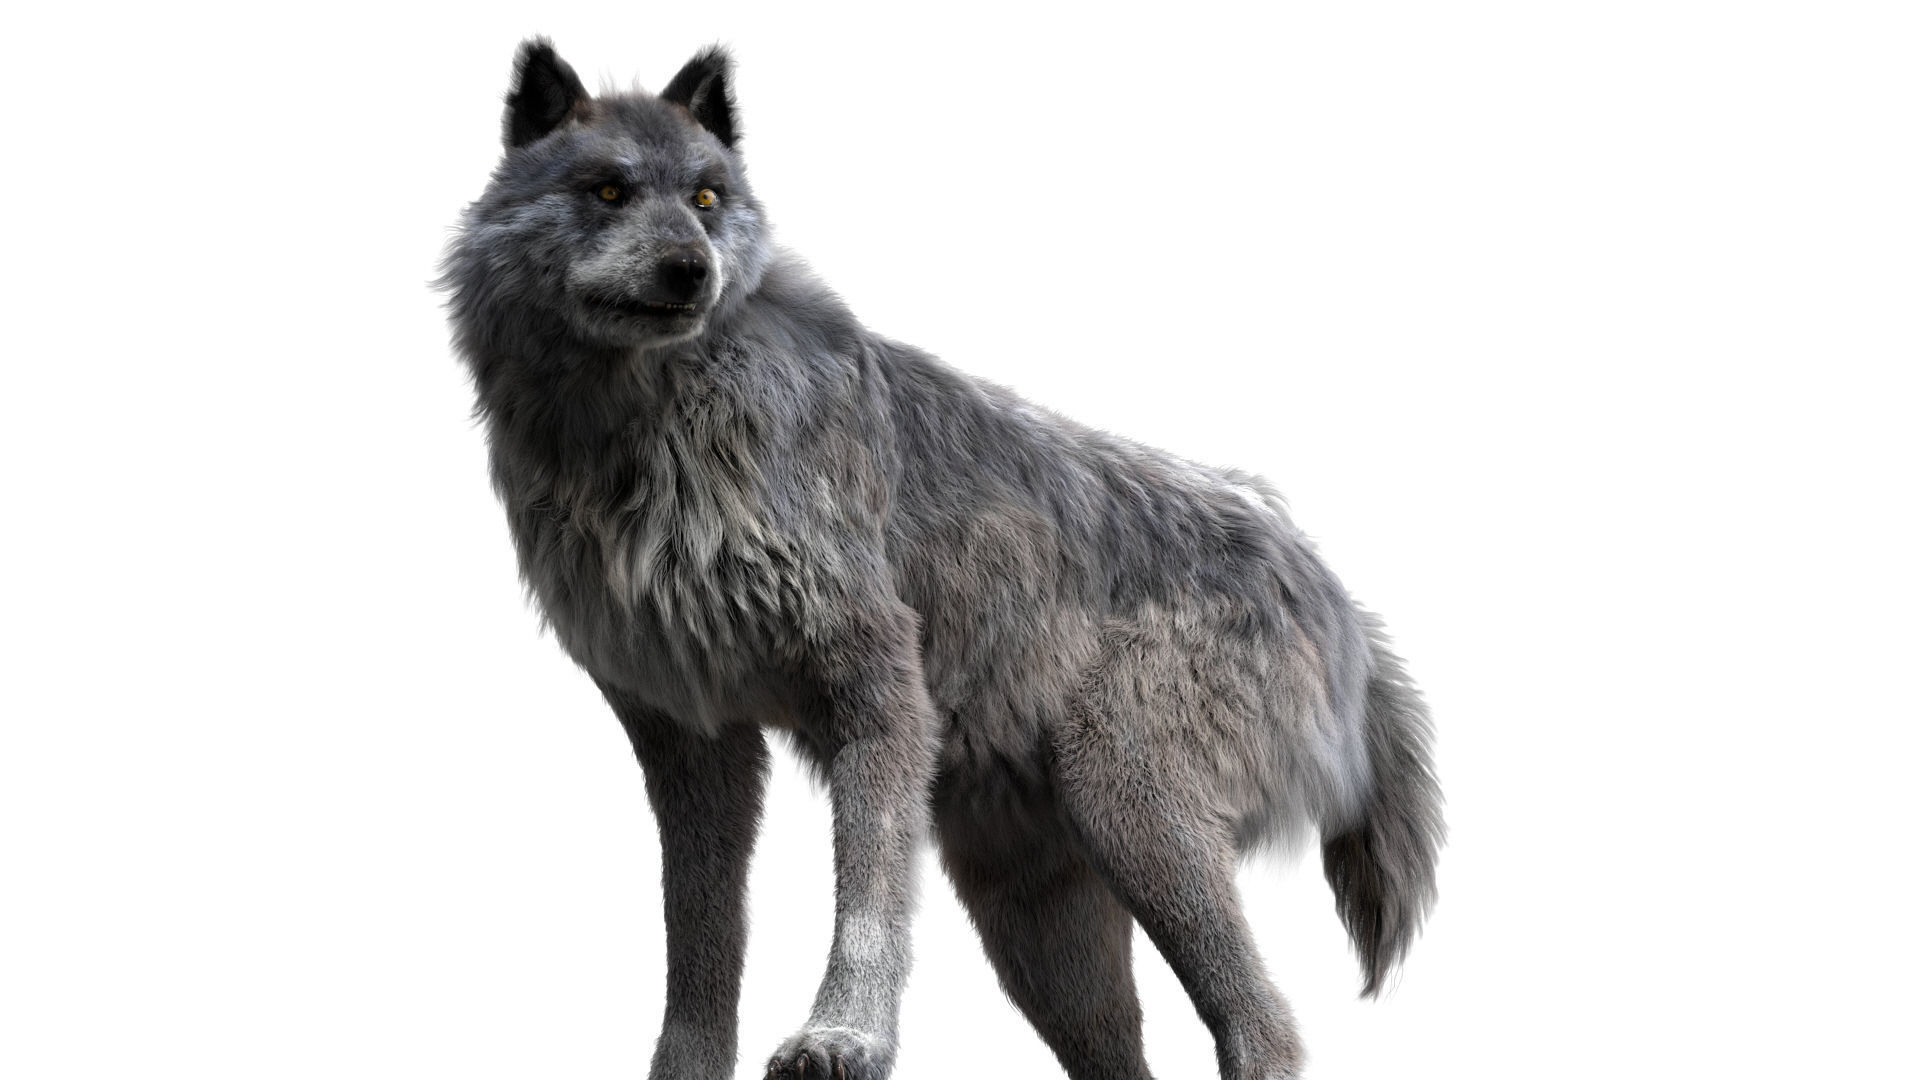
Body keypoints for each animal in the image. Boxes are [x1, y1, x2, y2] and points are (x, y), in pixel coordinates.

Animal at [439, 39, 1442, 1080]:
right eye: (608, 190)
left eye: (707, 198)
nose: (691, 272)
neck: (649, 433)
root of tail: (1333, 590)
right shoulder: (691, 738)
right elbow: (699, 939)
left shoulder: (878, 683)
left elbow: (869, 900)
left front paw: (840, 1038)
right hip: (1039, 927)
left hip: (1126, 803)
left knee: (1264, 1021)